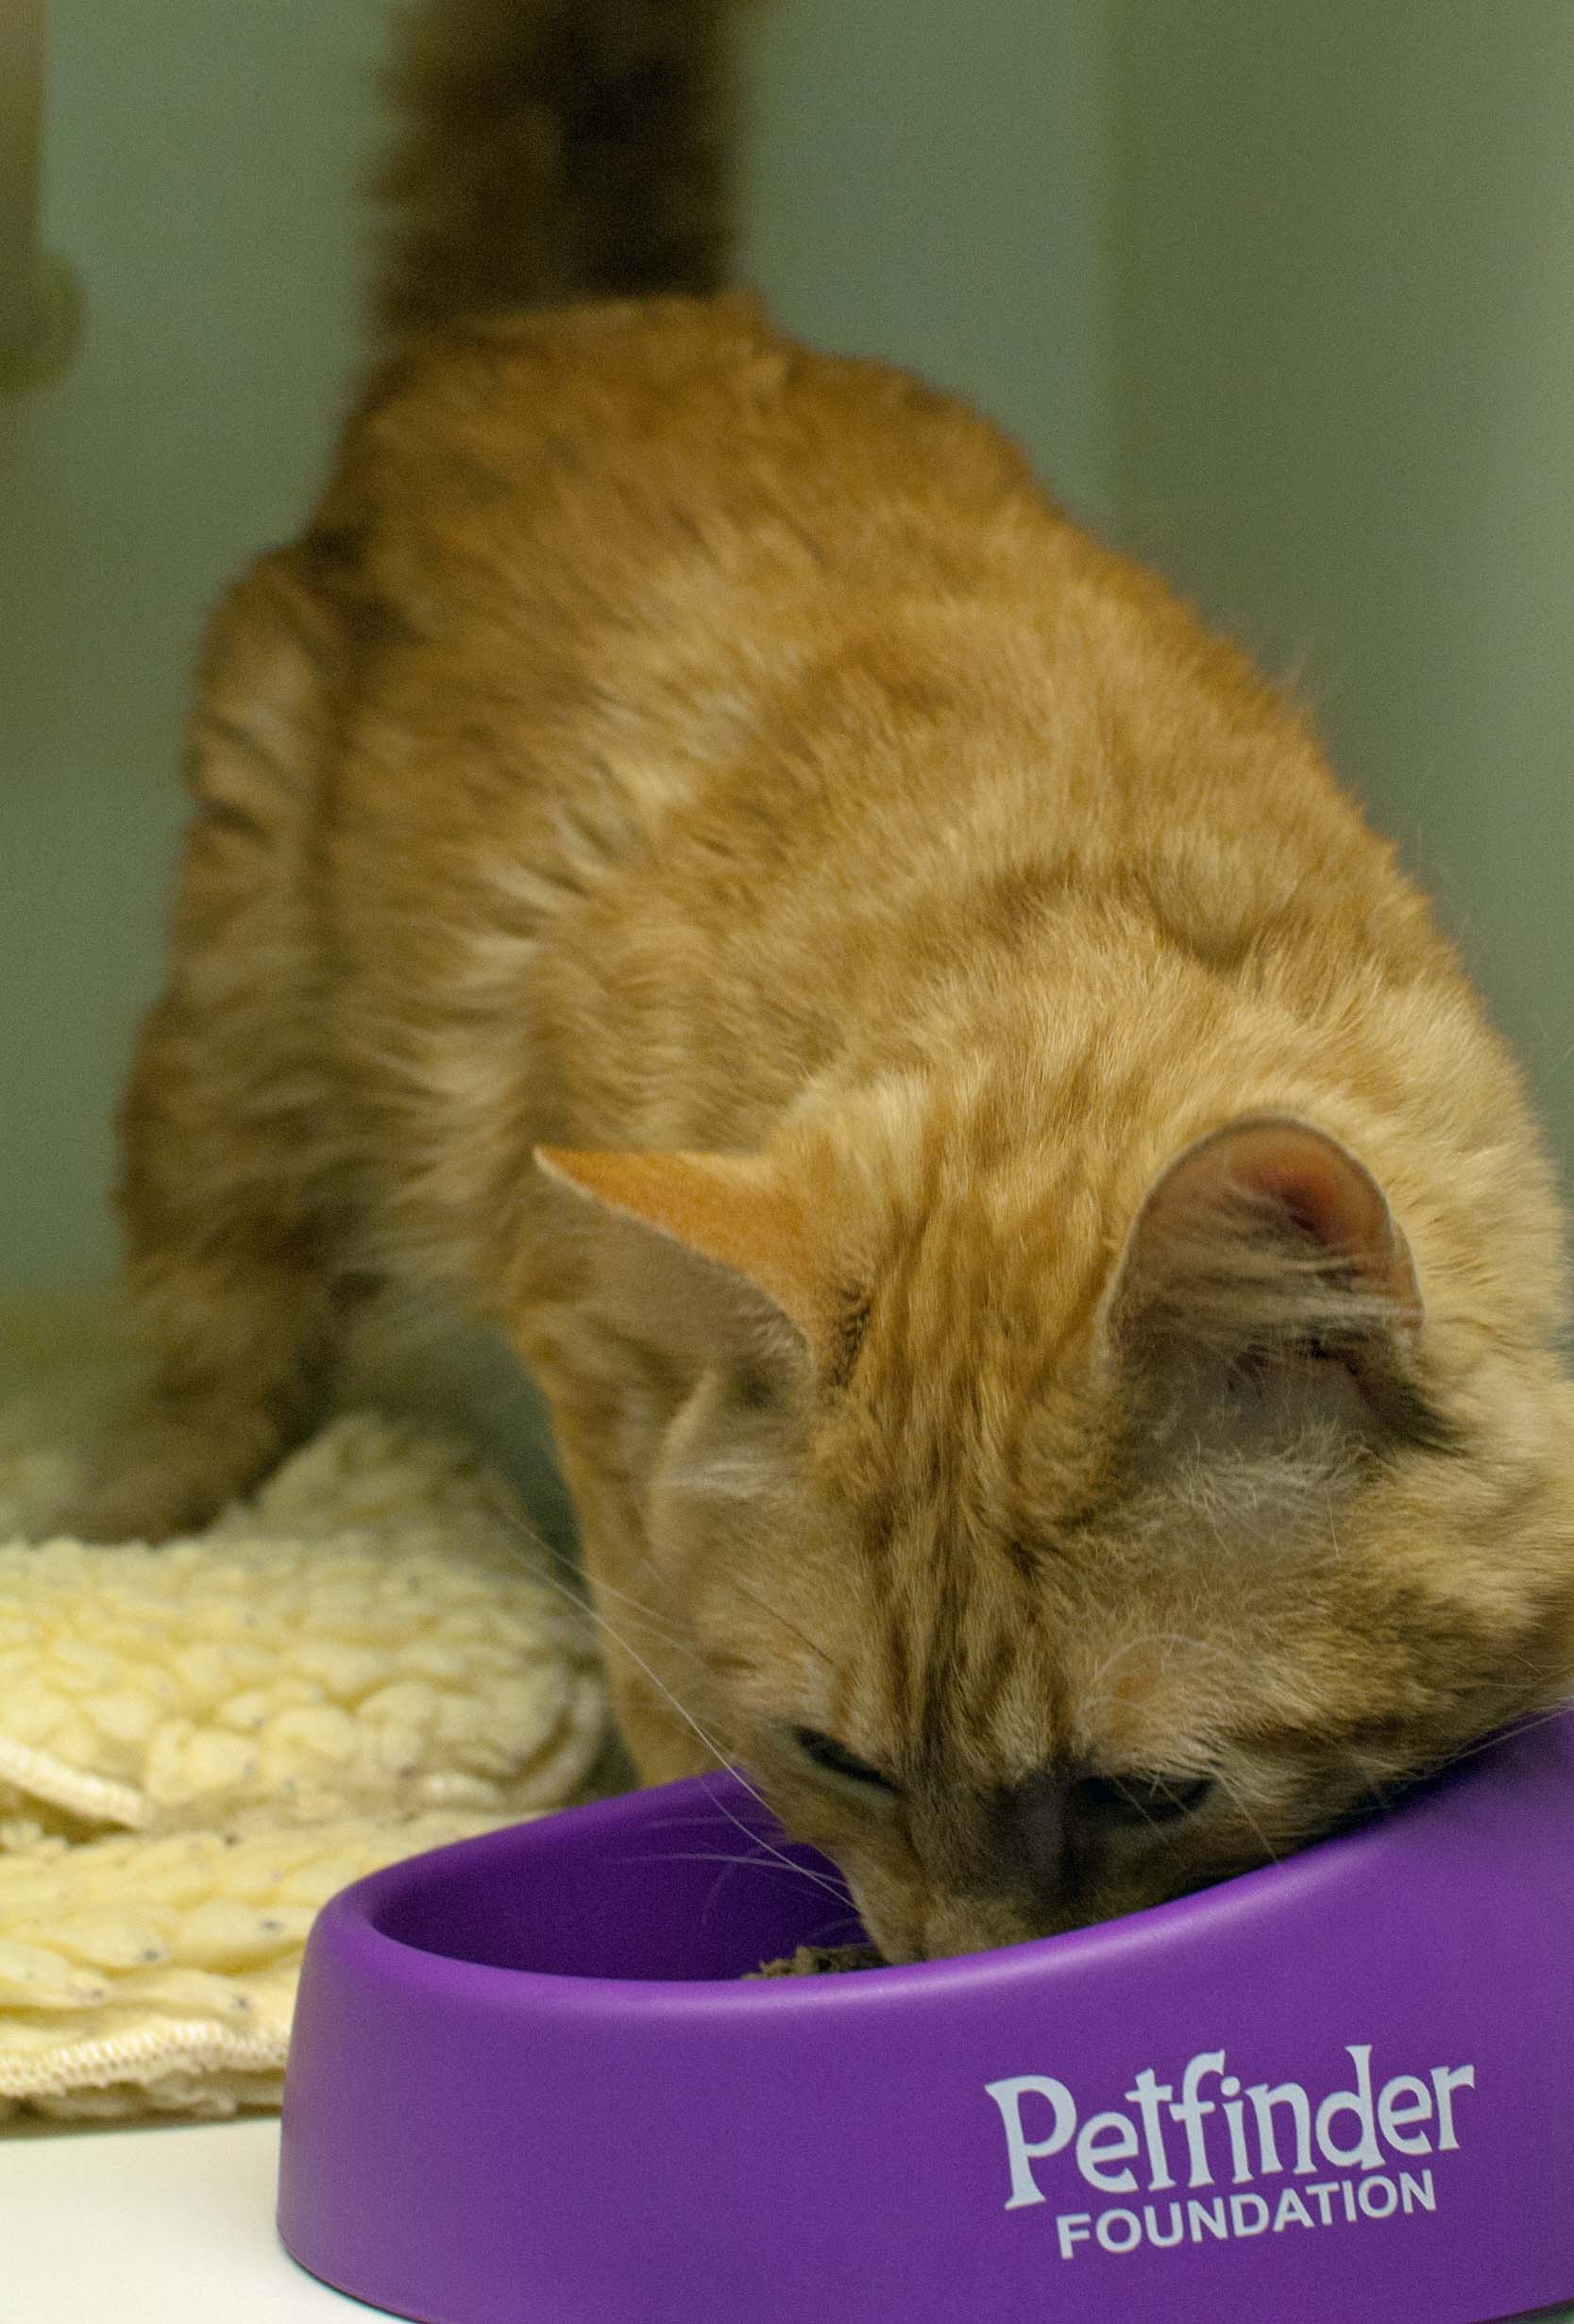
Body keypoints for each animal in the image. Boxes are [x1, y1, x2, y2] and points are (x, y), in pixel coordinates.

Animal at [74, 0, 1571, 1961]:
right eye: (840, 1758)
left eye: (1146, 1793)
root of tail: (580, 321)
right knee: (205, 1360)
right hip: (241, 1056)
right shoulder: (598, 1391)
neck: (1047, 932)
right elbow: (656, 1680)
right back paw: (121, 1526)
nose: (949, 1970)